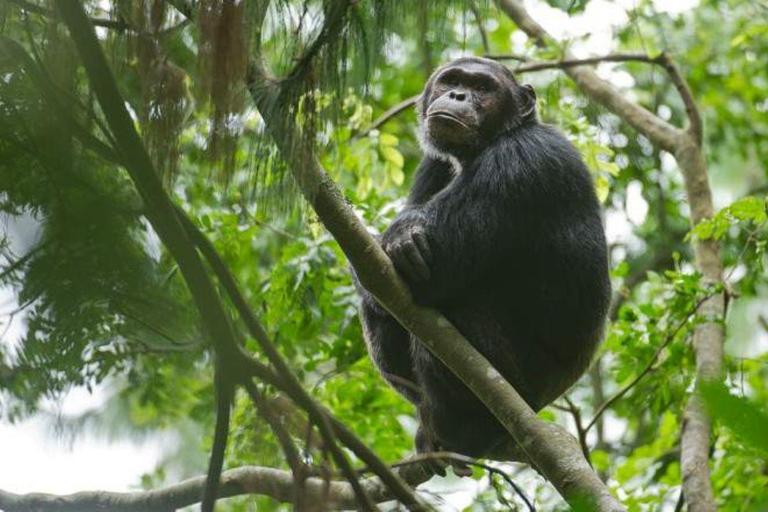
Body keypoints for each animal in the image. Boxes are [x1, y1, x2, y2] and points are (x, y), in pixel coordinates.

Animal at [354, 56, 612, 464]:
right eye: (452, 81)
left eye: (483, 88)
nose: (458, 95)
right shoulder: (432, 165)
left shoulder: (522, 161)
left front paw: (402, 236)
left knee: (456, 311)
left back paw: (465, 431)